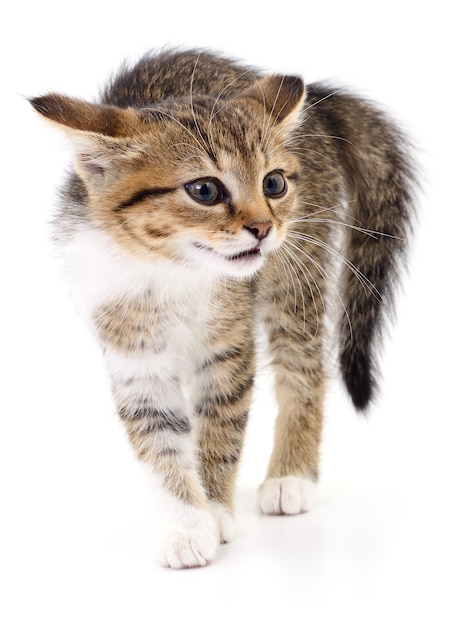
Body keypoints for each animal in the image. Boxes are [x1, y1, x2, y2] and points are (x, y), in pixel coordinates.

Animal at [28, 47, 416, 564]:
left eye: (273, 184)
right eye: (205, 190)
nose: (263, 228)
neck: (172, 275)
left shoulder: (229, 347)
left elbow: (221, 424)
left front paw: (213, 509)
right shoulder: (133, 355)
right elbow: (160, 439)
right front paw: (186, 524)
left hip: (296, 271)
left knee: (303, 366)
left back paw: (291, 475)